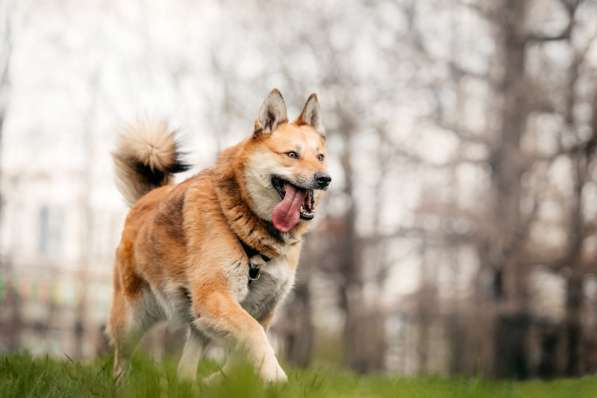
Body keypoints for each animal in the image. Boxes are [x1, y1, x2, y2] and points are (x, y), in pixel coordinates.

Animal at [107, 89, 330, 382]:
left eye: (320, 157)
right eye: (292, 154)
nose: (325, 179)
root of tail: (148, 197)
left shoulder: (260, 309)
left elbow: (244, 352)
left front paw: (220, 380)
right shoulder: (217, 296)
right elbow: (254, 334)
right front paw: (275, 378)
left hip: (196, 316)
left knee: (185, 366)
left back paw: (189, 384)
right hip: (134, 316)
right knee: (121, 357)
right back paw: (121, 383)